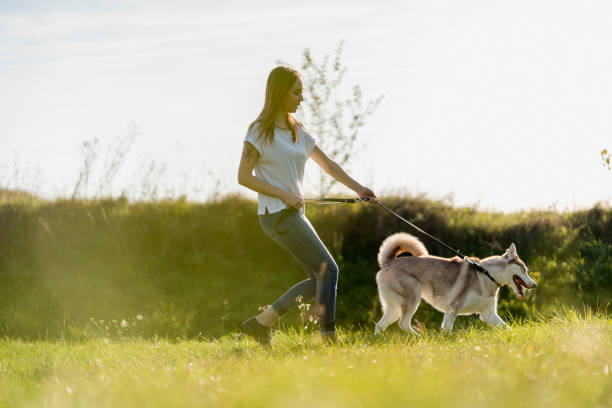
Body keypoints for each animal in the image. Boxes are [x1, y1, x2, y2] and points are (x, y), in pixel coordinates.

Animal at [372, 233, 536, 334]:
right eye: (524, 270)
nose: (534, 285)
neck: (486, 275)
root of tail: (389, 262)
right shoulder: (453, 308)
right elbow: (447, 329)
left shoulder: (488, 313)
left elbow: (506, 327)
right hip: (412, 298)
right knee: (403, 324)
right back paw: (419, 338)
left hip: (395, 308)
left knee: (380, 325)